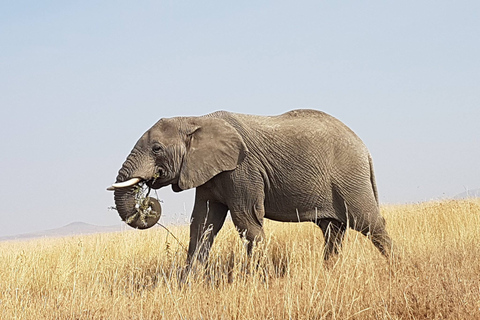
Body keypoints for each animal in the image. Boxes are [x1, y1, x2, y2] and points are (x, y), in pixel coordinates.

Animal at [109, 109, 394, 262]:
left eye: (157, 149)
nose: (147, 200)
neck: (195, 119)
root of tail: (364, 147)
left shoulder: (242, 170)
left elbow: (246, 220)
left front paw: (261, 279)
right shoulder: (208, 173)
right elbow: (202, 224)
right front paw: (186, 285)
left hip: (349, 176)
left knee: (369, 223)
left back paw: (394, 268)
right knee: (332, 231)